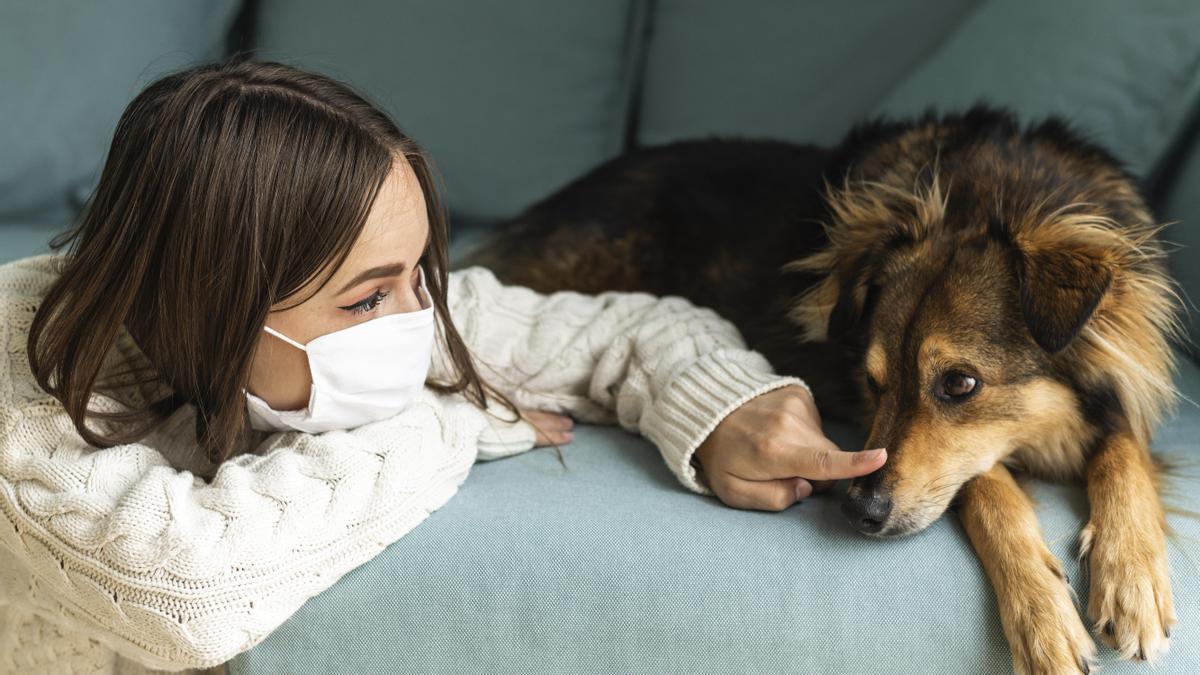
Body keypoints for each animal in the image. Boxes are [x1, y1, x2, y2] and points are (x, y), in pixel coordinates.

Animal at [465, 106, 1180, 672]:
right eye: (872, 380)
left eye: (961, 383)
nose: (858, 512)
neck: (992, 191)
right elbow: (987, 489)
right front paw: (1042, 617)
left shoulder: (1120, 394)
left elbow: (1123, 452)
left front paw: (1132, 577)